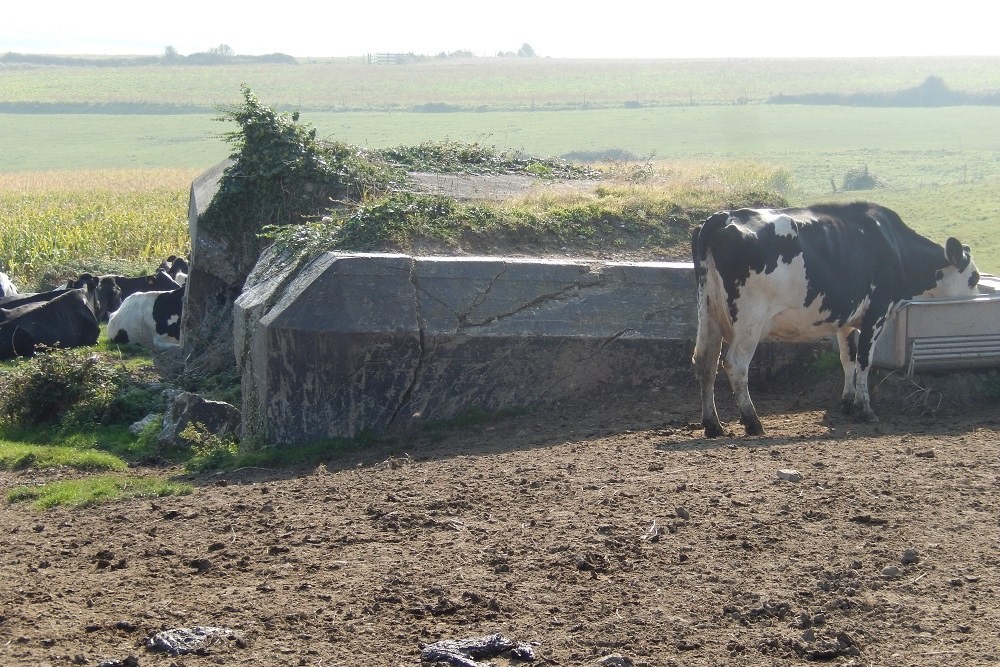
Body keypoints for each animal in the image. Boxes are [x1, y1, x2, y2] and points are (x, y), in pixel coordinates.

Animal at [692, 201, 980, 438]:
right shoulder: (876, 313)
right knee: (735, 364)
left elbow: (847, 359)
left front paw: (847, 403)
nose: (975, 300)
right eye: (974, 277)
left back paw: (713, 425)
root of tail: (723, 216)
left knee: (705, 361)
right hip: (749, 321)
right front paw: (866, 409)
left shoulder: (847, 321)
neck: (896, 248)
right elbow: (864, 360)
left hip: (709, 312)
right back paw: (752, 422)